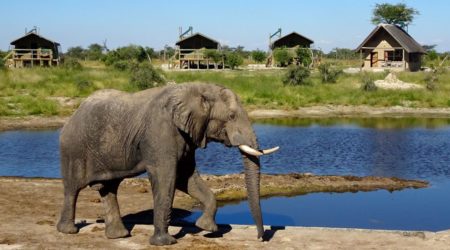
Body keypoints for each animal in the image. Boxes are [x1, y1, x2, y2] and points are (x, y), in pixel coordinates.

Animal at [56, 83, 278, 245]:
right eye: (231, 116)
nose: (260, 238)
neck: (199, 88)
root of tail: (73, 114)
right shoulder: (160, 133)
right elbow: (167, 177)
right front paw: (165, 242)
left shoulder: (186, 137)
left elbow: (185, 177)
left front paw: (206, 228)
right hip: (73, 149)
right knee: (72, 189)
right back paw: (68, 231)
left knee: (109, 188)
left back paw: (119, 236)